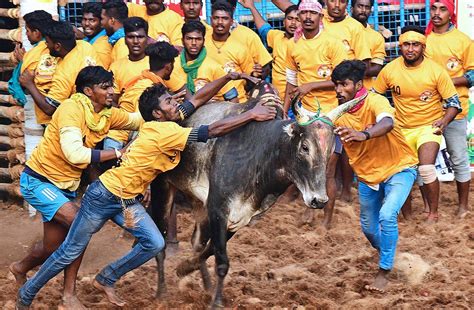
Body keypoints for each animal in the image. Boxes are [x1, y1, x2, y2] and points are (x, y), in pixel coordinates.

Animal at [150, 82, 364, 308]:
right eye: (305, 147)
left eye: (330, 151)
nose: (319, 200)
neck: (262, 153)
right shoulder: (219, 209)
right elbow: (221, 260)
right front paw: (216, 302)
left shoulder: (240, 216)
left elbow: (209, 251)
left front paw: (184, 268)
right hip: (162, 188)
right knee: (161, 244)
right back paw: (161, 293)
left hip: (198, 202)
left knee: (197, 242)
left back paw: (205, 285)